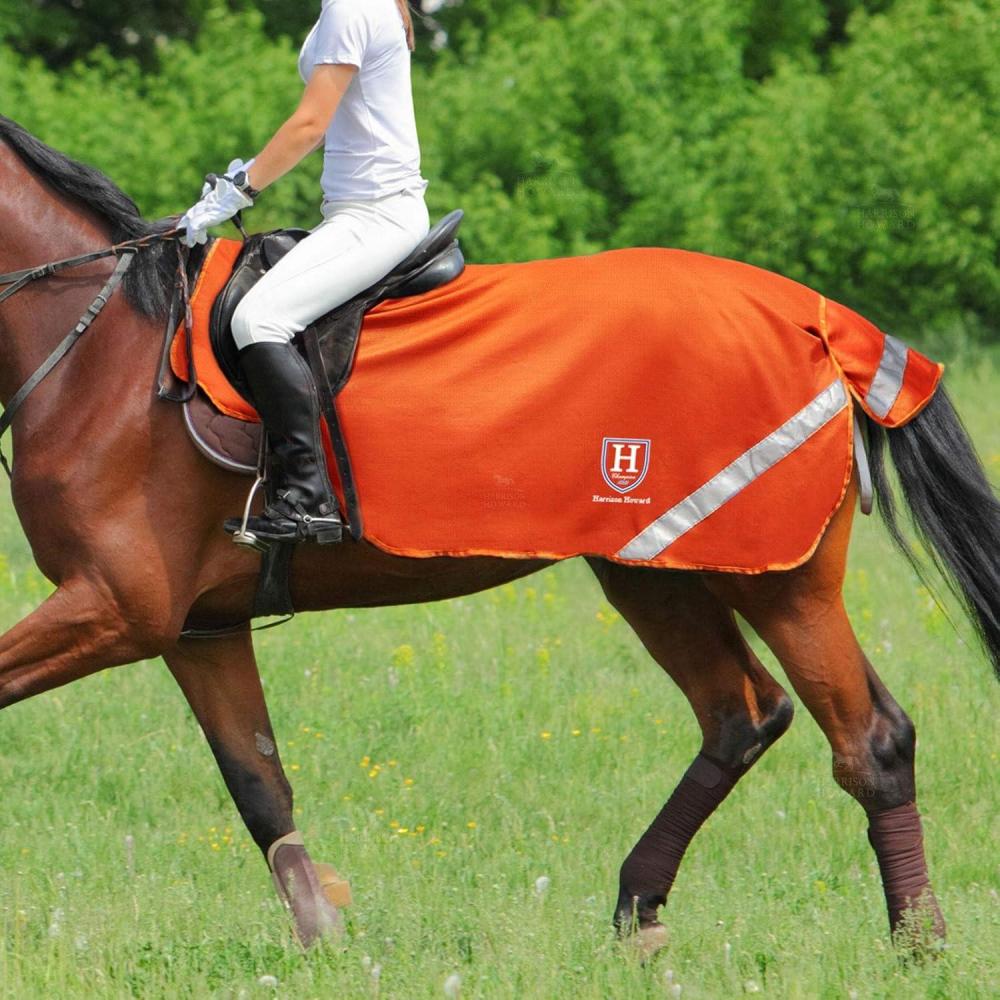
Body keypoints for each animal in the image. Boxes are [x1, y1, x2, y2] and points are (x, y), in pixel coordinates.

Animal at [1, 115, 998, 955]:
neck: (99, 355)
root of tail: (819, 319)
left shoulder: (117, 609)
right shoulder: (198, 627)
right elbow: (259, 785)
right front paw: (327, 938)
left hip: (776, 579)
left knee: (868, 740)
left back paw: (918, 944)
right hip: (658, 572)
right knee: (741, 715)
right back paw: (639, 914)